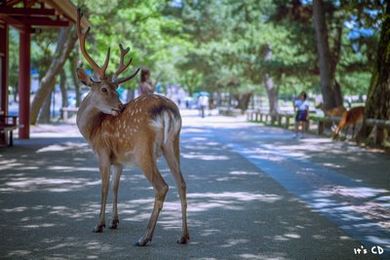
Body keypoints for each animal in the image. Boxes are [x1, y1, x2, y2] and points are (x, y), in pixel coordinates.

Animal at [75, 9, 190, 246]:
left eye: (115, 88)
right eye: (105, 89)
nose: (120, 107)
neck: (92, 131)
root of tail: (167, 110)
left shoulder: (102, 153)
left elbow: (103, 188)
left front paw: (99, 225)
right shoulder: (118, 161)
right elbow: (116, 187)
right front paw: (114, 221)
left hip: (143, 150)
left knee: (162, 186)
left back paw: (144, 238)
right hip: (173, 144)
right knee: (182, 183)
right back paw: (183, 236)